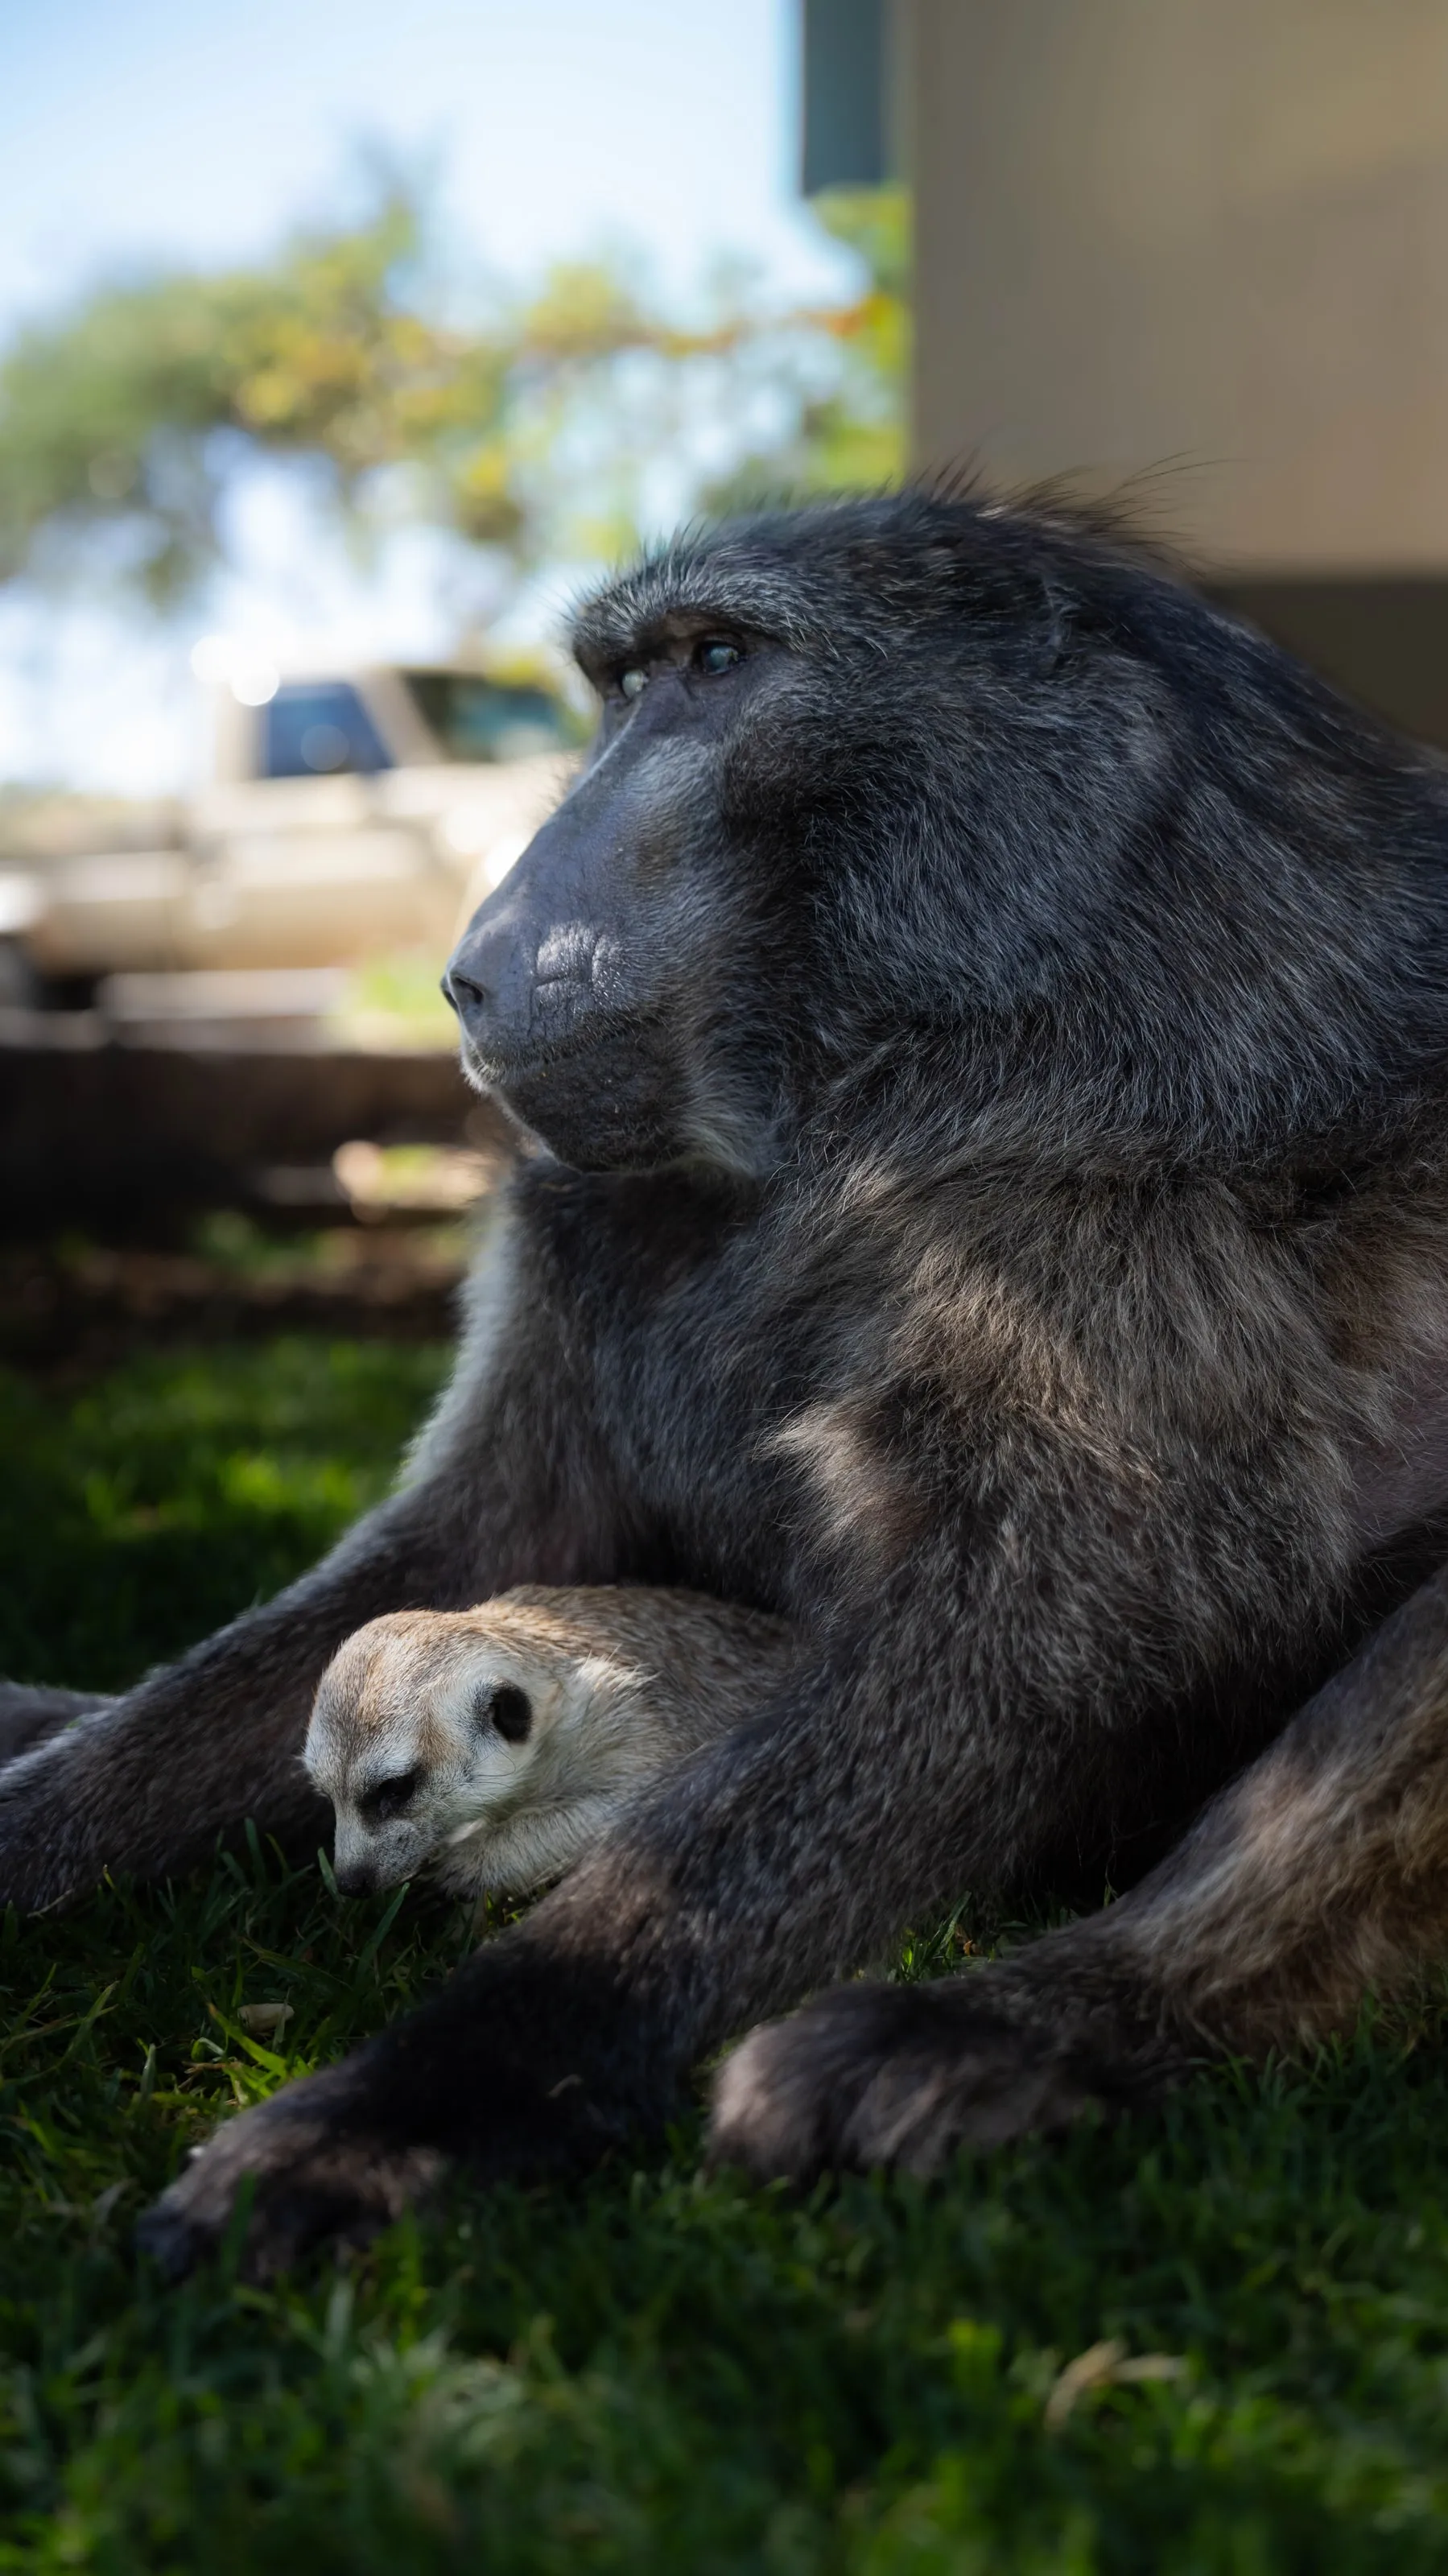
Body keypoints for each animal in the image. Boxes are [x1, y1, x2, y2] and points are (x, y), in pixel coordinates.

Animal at [305, 1586, 797, 1901]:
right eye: (325, 1794)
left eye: (395, 1788)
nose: (349, 1883)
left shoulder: (636, 1723)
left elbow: (638, 1803)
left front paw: (462, 1866)